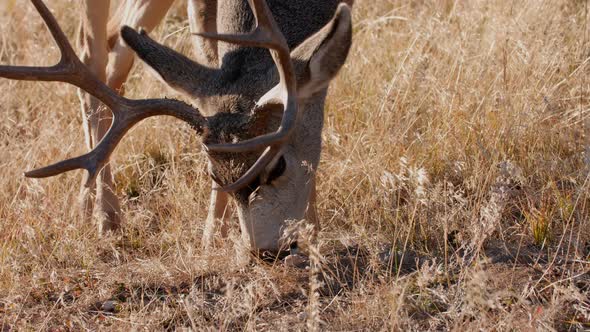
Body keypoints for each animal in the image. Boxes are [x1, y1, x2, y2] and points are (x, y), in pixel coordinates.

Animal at [0, 0, 352, 258]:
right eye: (214, 174)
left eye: (278, 166)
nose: (266, 251)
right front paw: (213, 237)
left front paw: (313, 230)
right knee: (91, 51)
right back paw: (105, 217)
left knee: (117, 46)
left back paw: (89, 205)